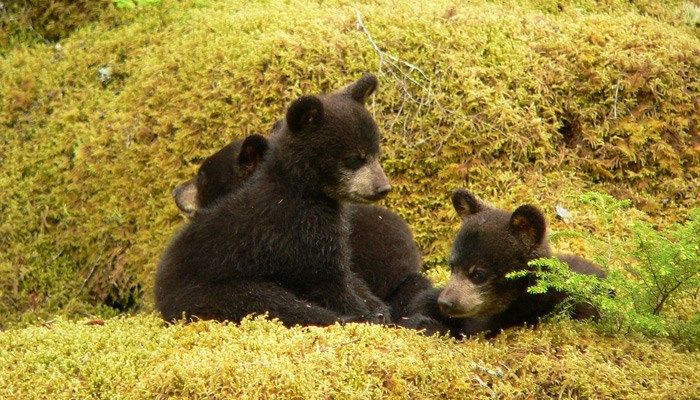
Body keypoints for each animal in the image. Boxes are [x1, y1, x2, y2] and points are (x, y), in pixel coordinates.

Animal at [155, 74, 395, 326]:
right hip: (216, 290)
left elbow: (349, 273)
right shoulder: (297, 227)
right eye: (354, 158)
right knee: (271, 302)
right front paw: (364, 313)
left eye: (376, 153)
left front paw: (377, 307)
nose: (383, 187)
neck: (305, 190)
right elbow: (326, 277)